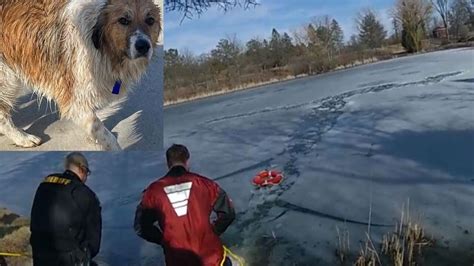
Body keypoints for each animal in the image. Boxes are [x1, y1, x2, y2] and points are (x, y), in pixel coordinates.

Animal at [0, 0, 161, 150]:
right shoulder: (75, 101)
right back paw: (22, 138)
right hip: (7, 78)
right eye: (123, 20)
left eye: (150, 20)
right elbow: (105, 134)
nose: (143, 46)